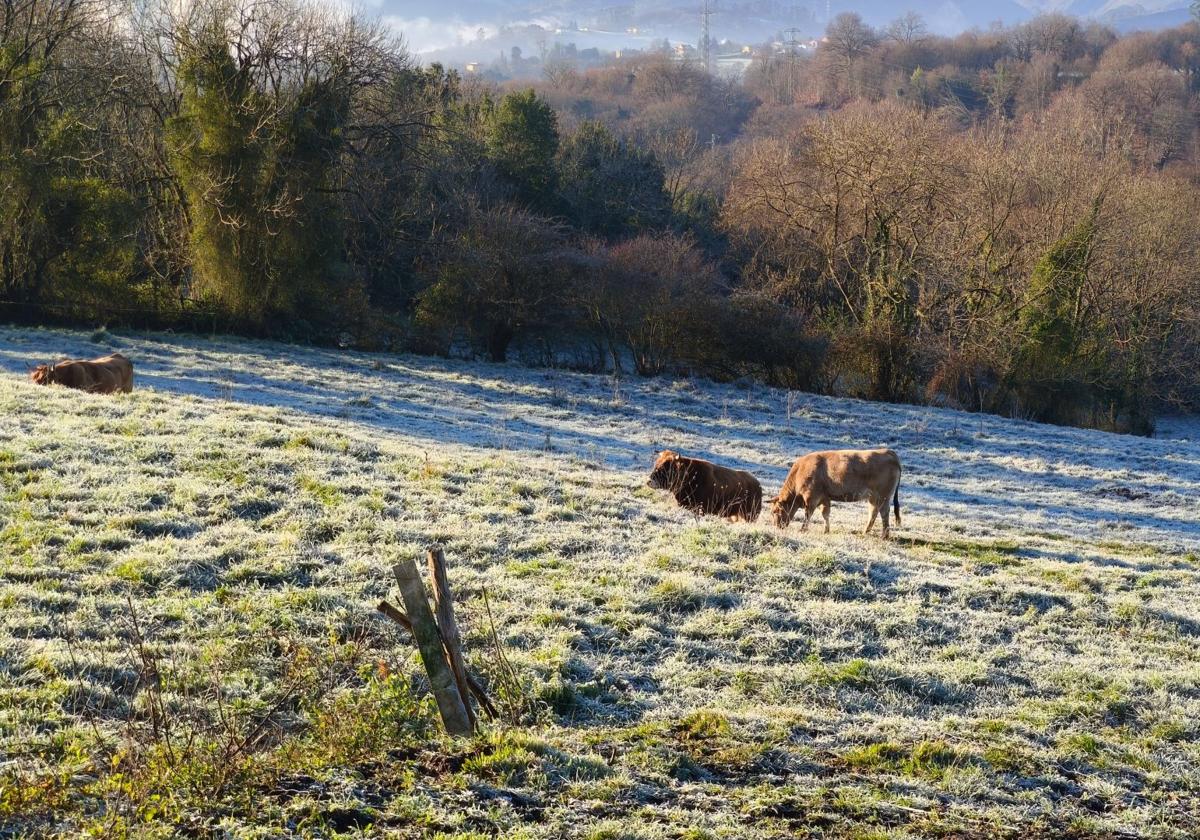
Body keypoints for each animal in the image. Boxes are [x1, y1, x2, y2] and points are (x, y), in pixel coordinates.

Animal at [768, 448, 902, 542]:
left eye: (775, 511)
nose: (776, 526)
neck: (799, 472)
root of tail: (889, 452)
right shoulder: (824, 498)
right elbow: (825, 514)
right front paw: (826, 530)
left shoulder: (811, 498)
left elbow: (808, 514)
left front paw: (803, 529)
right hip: (873, 497)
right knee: (873, 513)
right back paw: (865, 532)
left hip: (883, 496)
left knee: (884, 513)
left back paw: (884, 536)